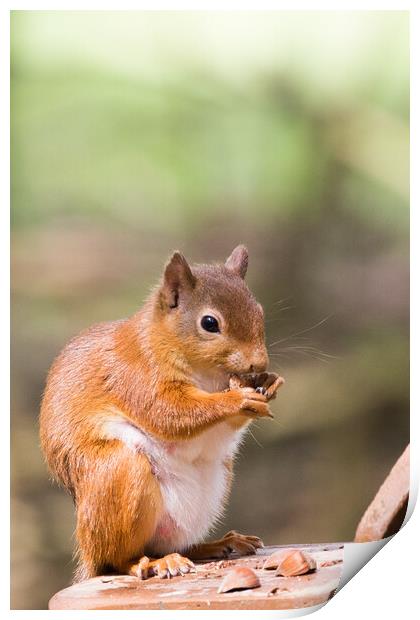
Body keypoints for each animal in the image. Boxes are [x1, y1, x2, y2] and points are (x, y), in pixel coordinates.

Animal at [39, 246, 284, 580]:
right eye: (210, 323)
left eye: (259, 311)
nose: (258, 364)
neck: (207, 375)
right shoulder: (136, 375)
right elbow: (169, 412)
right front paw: (237, 398)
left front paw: (269, 382)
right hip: (120, 474)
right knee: (118, 559)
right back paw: (151, 563)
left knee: (175, 544)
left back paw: (217, 544)